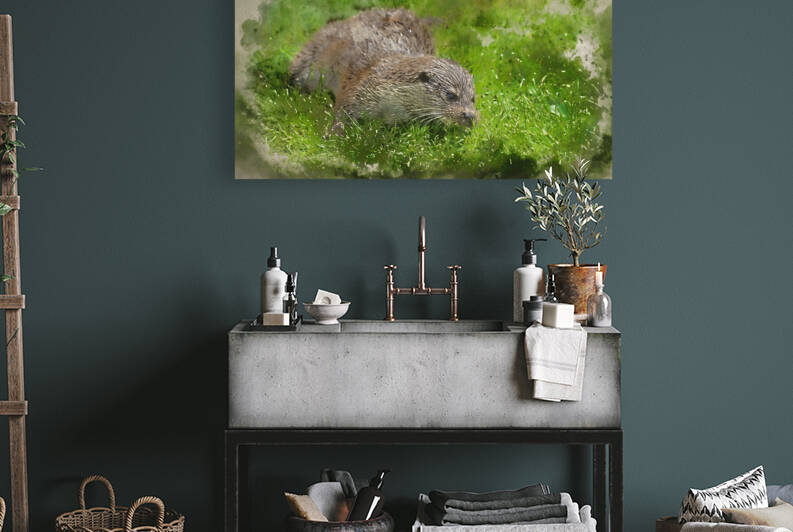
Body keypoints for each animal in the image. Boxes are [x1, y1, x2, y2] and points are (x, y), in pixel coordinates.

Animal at [289, 8, 478, 131]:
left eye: (473, 99)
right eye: (451, 95)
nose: (469, 116)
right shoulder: (357, 90)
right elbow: (341, 111)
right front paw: (334, 134)